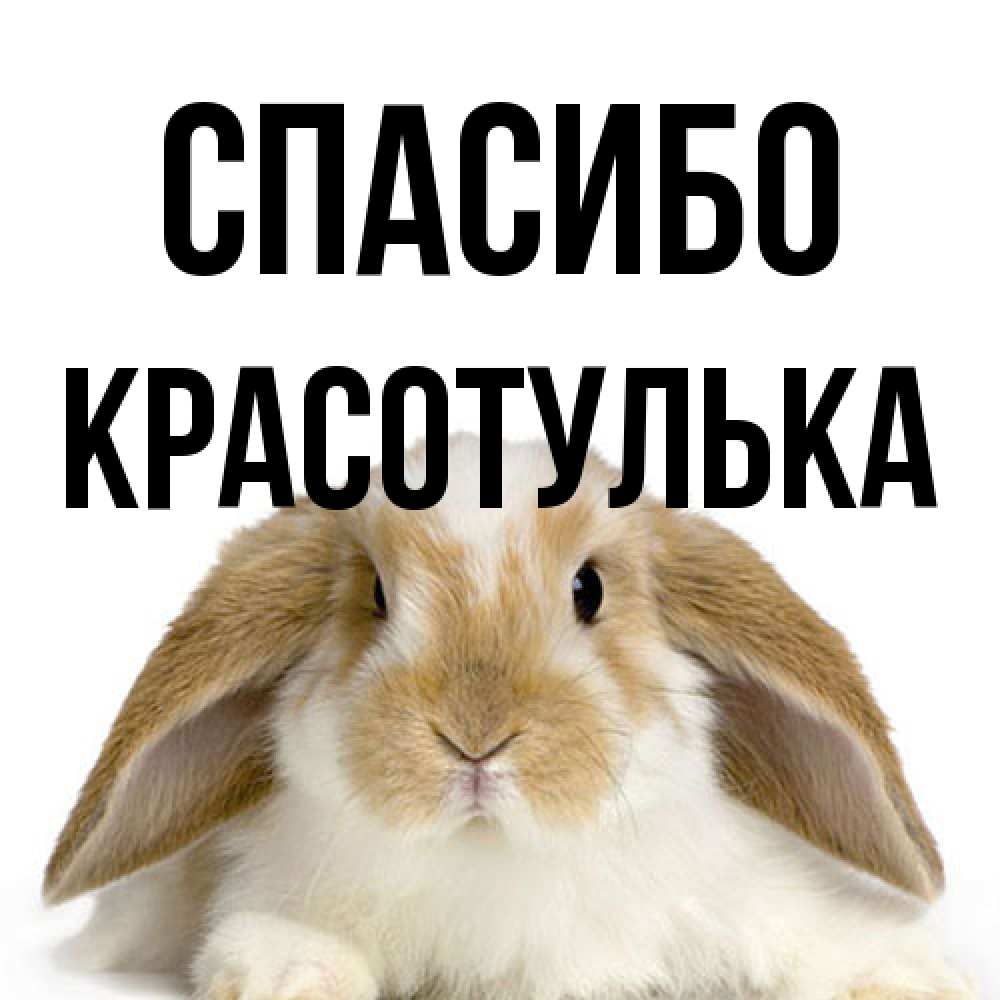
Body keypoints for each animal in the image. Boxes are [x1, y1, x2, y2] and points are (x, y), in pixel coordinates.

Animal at [45, 434, 975, 1000]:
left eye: (589, 589)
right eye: (376, 596)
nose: (475, 737)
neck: (495, 857)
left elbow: (818, 938)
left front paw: (911, 978)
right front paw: (292, 977)